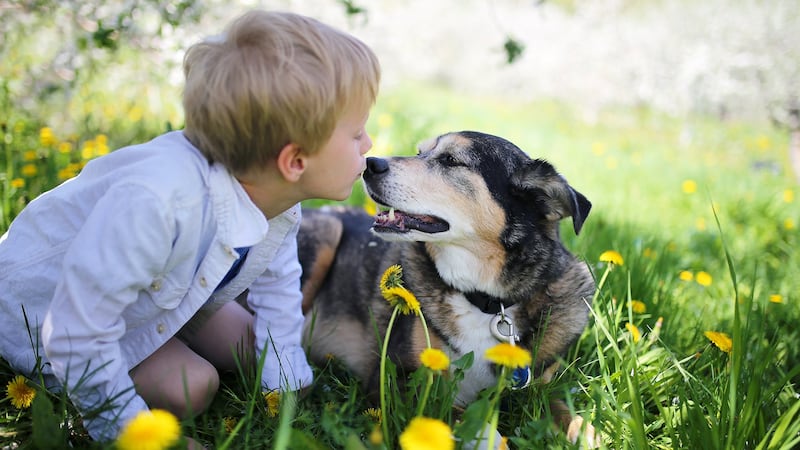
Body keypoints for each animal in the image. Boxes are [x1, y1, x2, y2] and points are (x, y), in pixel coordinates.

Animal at [298, 131, 592, 446]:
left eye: (451, 160)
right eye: (419, 152)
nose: (369, 164)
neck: (486, 303)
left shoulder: (537, 388)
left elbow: (570, 415)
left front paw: (586, 434)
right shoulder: (397, 381)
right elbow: (477, 428)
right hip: (326, 233)